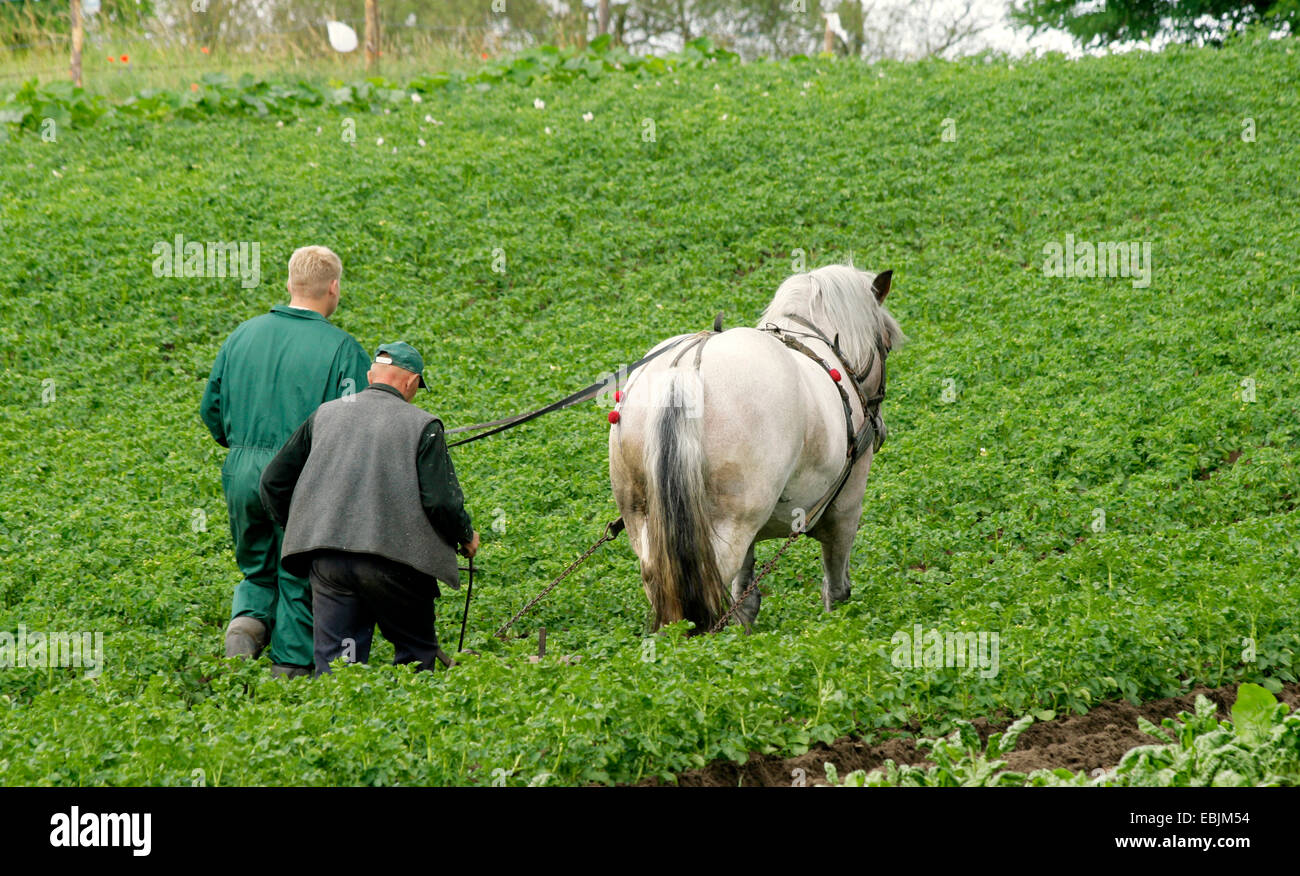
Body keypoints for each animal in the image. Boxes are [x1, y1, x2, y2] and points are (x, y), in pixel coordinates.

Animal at [607, 263, 903, 633]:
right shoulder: (846, 503)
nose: (881, 429)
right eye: (887, 345)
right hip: (734, 522)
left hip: (645, 520)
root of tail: (688, 366)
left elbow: (746, 599)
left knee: (660, 581)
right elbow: (836, 584)